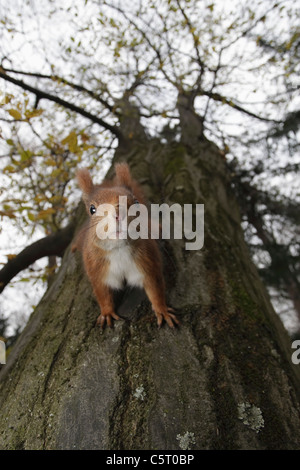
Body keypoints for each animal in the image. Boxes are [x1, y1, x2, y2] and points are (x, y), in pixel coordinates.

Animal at [72, 163, 178, 328]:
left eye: (136, 202)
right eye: (92, 209)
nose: (118, 213)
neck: (119, 250)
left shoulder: (147, 263)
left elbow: (155, 289)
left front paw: (162, 310)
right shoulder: (98, 271)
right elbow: (102, 294)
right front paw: (106, 313)